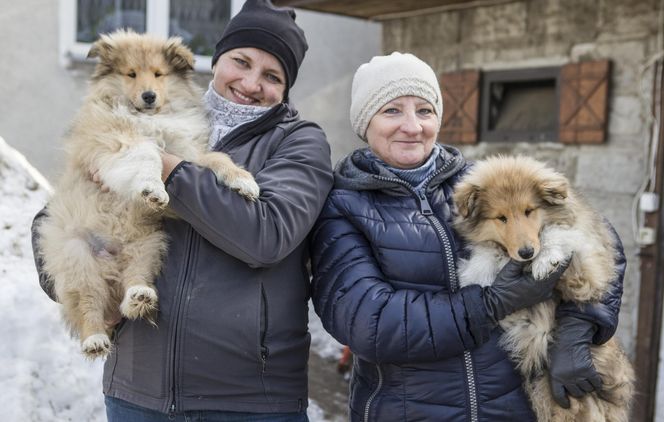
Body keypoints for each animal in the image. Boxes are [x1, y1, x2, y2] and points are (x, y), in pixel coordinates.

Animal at [36, 29, 260, 360]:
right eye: (131, 74)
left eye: (158, 74)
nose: (149, 96)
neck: (151, 117)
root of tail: (110, 264)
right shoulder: (118, 140)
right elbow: (147, 154)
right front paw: (153, 188)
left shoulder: (185, 153)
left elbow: (217, 159)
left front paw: (244, 181)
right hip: (76, 257)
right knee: (88, 302)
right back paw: (95, 338)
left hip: (148, 246)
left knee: (132, 285)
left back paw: (138, 296)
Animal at [454, 156, 636, 422]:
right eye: (501, 218)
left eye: (529, 211)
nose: (526, 252)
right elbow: (488, 253)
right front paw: (479, 270)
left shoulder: (587, 271)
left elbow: (558, 232)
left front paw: (546, 259)